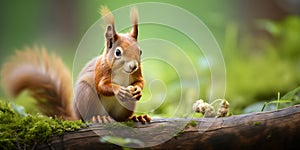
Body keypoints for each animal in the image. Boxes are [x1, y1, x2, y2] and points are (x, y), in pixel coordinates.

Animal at [0, 6, 150, 123]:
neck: (121, 71)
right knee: (88, 116)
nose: (133, 66)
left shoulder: (137, 73)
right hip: (86, 94)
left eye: (140, 51)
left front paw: (137, 90)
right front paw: (119, 90)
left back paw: (136, 117)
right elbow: (102, 86)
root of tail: (76, 116)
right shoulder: (101, 70)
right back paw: (98, 118)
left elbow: (140, 81)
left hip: (125, 106)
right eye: (118, 52)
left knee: (121, 118)